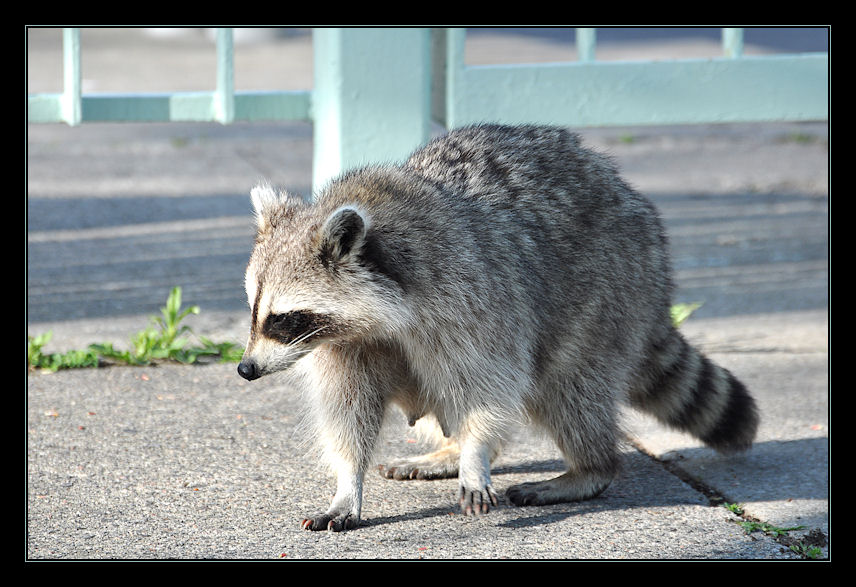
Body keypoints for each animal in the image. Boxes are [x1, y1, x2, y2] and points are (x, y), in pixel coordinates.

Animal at [237, 124, 760, 532]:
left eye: (283, 319)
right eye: (253, 310)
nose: (245, 369)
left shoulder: (472, 298)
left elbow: (490, 384)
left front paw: (475, 455)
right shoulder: (346, 346)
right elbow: (348, 411)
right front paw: (348, 484)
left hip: (611, 290)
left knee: (570, 389)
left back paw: (587, 467)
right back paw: (451, 450)